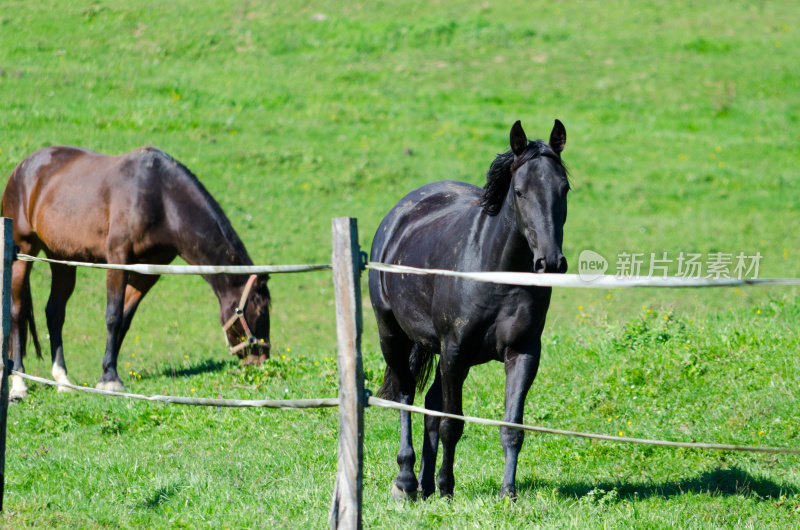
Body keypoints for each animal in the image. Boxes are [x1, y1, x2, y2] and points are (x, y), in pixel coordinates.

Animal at [1, 144, 272, 396]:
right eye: (260, 310)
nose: (261, 361)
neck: (161, 197)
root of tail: (22, 169)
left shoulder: (147, 271)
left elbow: (125, 318)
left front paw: (107, 372)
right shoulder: (117, 259)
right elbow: (112, 316)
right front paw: (110, 378)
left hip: (62, 258)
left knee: (54, 313)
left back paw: (63, 380)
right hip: (24, 252)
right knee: (17, 313)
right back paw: (19, 383)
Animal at [368, 120, 568, 500]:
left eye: (564, 189)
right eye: (519, 191)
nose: (549, 262)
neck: (495, 273)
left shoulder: (523, 353)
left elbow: (511, 426)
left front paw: (508, 493)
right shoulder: (454, 352)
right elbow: (452, 424)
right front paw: (447, 488)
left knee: (429, 405)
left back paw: (425, 485)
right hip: (394, 338)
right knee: (406, 397)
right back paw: (407, 482)